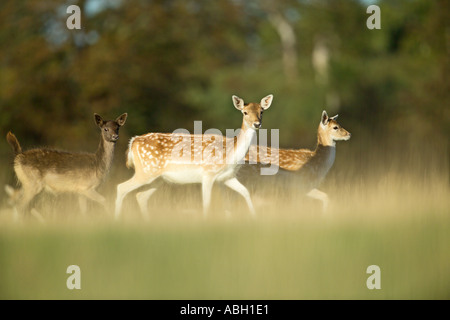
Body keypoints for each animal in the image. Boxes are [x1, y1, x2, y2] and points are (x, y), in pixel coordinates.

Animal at [114, 95, 272, 219]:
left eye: (261, 111)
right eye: (245, 112)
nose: (257, 124)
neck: (230, 153)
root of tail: (133, 142)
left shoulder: (227, 177)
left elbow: (245, 192)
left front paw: (254, 218)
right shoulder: (208, 173)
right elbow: (206, 203)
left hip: (158, 178)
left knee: (140, 196)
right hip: (146, 171)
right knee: (121, 187)